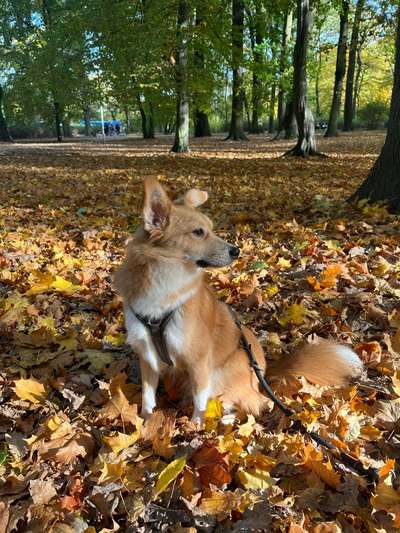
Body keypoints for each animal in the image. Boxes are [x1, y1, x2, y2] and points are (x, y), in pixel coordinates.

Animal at [113, 178, 362, 420]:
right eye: (198, 232)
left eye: (210, 229)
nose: (237, 251)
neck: (164, 276)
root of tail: (263, 374)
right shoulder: (147, 358)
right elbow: (147, 397)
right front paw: (145, 421)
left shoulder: (199, 362)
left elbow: (200, 404)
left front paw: (196, 427)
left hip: (222, 374)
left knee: (257, 403)